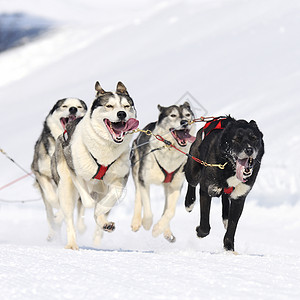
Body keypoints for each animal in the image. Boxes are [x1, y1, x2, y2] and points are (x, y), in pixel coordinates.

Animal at [32, 97, 87, 240]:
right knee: (49, 211)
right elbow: (52, 199)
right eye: (65, 106)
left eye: (80, 107)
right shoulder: (39, 172)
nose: (73, 109)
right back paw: (52, 231)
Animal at [52, 81, 139, 250]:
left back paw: (104, 223)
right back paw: (72, 244)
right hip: (65, 187)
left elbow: (105, 204)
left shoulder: (119, 180)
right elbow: (88, 202)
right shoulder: (76, 174)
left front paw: (102, 216)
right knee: (69, 219)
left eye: (126, 106)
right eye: (109, 106)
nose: (121, 114)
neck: (105, 151)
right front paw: (93, 207)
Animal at [130, 102, 196, 243]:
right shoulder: (144, 180)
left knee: (166, 208)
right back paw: (136, 222)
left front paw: (157, 229)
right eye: (173, 115)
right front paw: (147, 223)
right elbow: (147, 209)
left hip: (168, 187)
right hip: (137, 172)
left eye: (188, 114)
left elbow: (170, 212)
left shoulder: (175, 187)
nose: (184, 122)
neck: (169, 147)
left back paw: (167, 232)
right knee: (138, 197)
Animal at [184, 116, 264, 252]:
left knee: (225, 198)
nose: (249, 150)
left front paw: (229, 247)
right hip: (193, 169)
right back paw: (189, 203)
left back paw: (225, 217)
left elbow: (232, 226)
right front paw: (199, 232)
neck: (229, 167)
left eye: (254, 138)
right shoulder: (206, 189)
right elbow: (205, 225)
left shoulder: (239, 198)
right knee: (192, 182)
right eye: (236, 139)